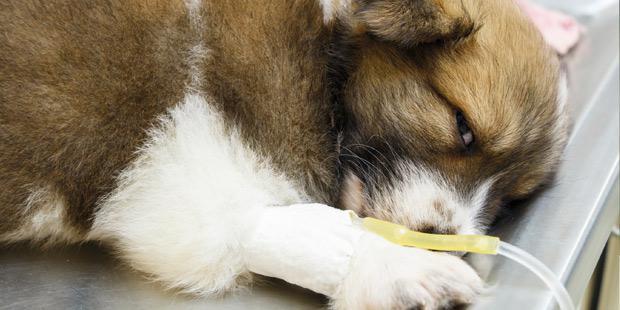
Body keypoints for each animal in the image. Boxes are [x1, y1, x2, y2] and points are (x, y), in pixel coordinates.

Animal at [0, 0, 568, 308]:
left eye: (508, 200)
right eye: (462, 127)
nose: (443, 240)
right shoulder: (174, 173)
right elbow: (294, 227)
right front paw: (393, 265)